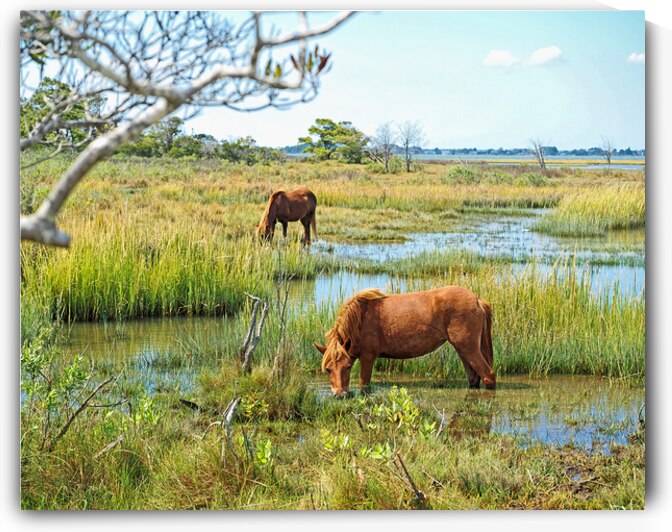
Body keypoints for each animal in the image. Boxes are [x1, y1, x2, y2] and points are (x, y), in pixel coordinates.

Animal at [314, 286, 495, 397]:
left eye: (347, 366)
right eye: (328, 369)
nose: (339, 394)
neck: (360, 318)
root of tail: (477, 300)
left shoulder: (367, 358)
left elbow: (364, 385)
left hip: (468, 347)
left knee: (488, 375)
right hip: (462, 349)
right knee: (474, 378)